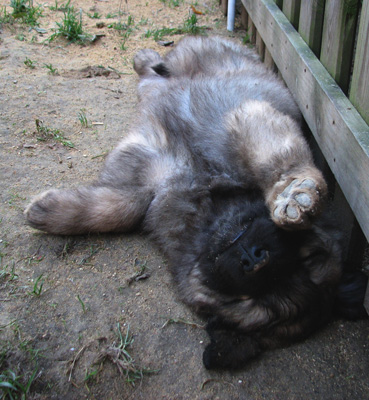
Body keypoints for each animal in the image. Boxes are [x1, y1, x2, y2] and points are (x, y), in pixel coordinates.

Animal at [25, 36, 366, 368]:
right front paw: (298, 194)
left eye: (256, 301)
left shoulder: (148, 186)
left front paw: (43, 210)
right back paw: (145, 56)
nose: (255, 258)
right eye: (307, 256)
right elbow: (281, 161)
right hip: (201, 57)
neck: (204, 199)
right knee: (161, 67)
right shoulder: (246, 119)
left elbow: (122, 206)